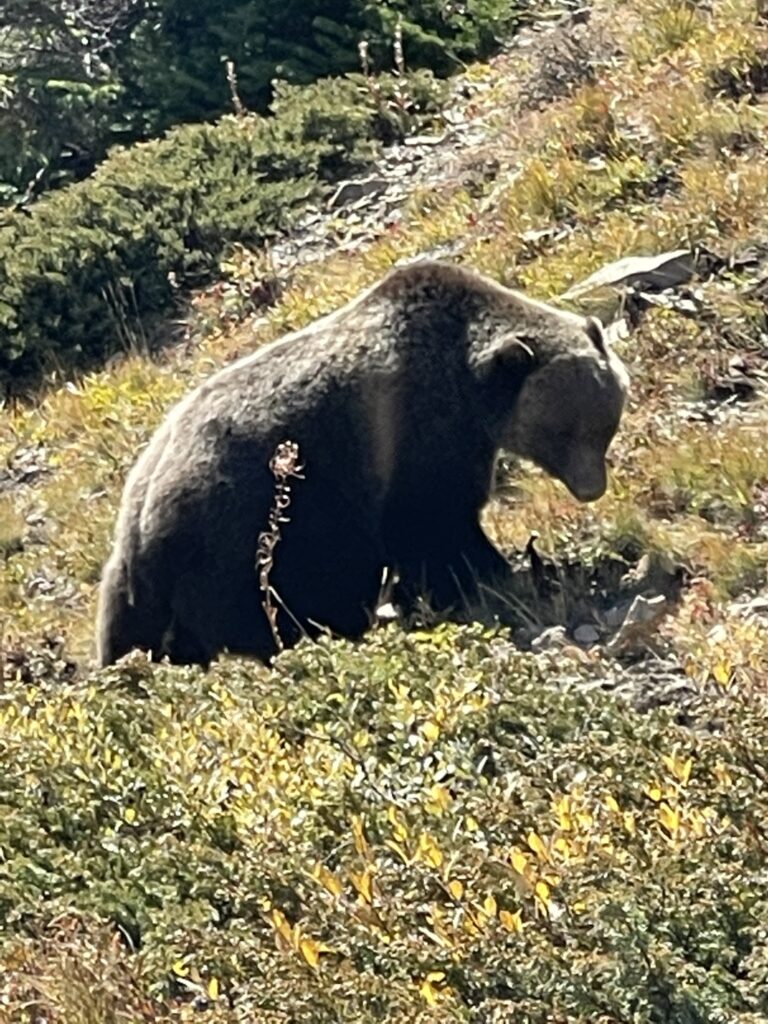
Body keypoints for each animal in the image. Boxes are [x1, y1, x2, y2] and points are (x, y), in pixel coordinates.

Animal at [94, 260, 630, 667]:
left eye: (604, 422)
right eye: (561, 430)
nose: (591, 487)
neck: (470, 386)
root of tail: (140, 528)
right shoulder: (415, 432)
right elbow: (435, 526)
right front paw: (491, 575)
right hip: (247, 536)